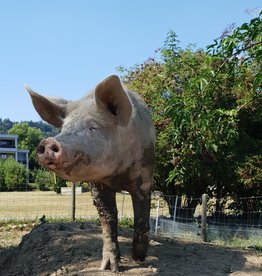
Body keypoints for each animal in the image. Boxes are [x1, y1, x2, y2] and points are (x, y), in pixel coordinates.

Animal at [25, 75, 155, 272]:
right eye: (64, 128)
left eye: (93, 127)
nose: (48, 142)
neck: (117, 174)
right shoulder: (98, 185)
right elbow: (108, 220)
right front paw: (109, 268)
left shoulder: (144, 176)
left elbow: (142, 217)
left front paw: (138, 258)